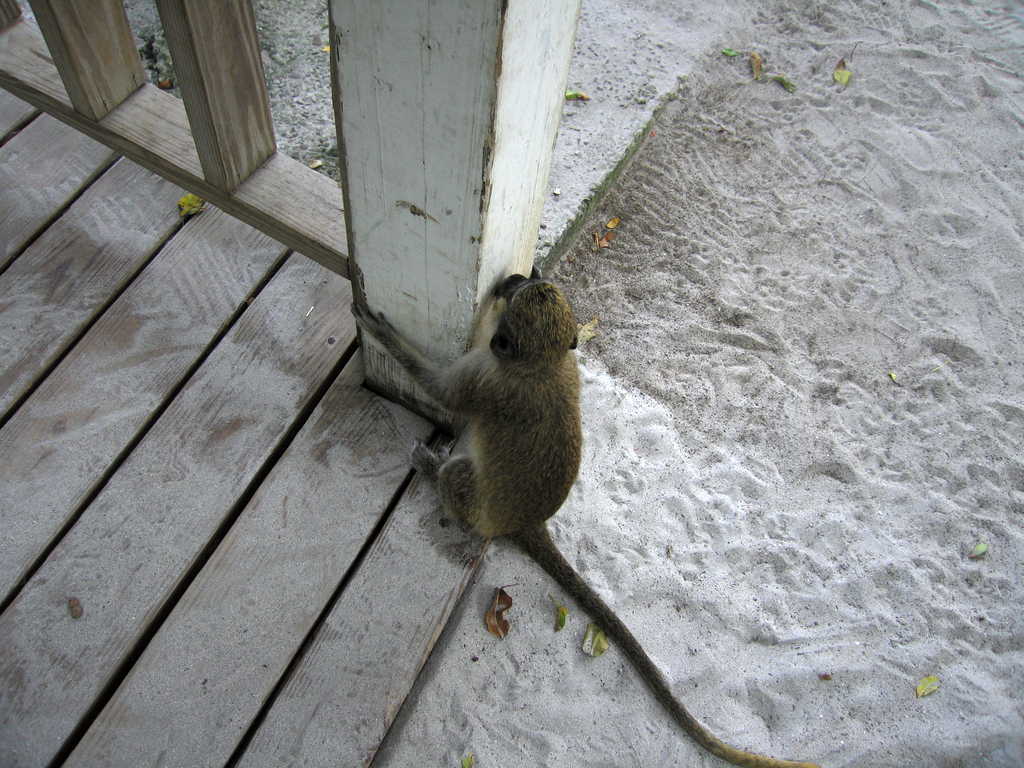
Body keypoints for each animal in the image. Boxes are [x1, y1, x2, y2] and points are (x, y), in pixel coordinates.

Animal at [352, 269, 819, 768]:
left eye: (515, 294)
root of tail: (525, 523)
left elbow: (441, 389)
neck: (543, 364)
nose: (513, 277)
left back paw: (434, 476)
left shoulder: (484, 375)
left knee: (458, 478)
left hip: (475, 503)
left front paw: (379, 330)